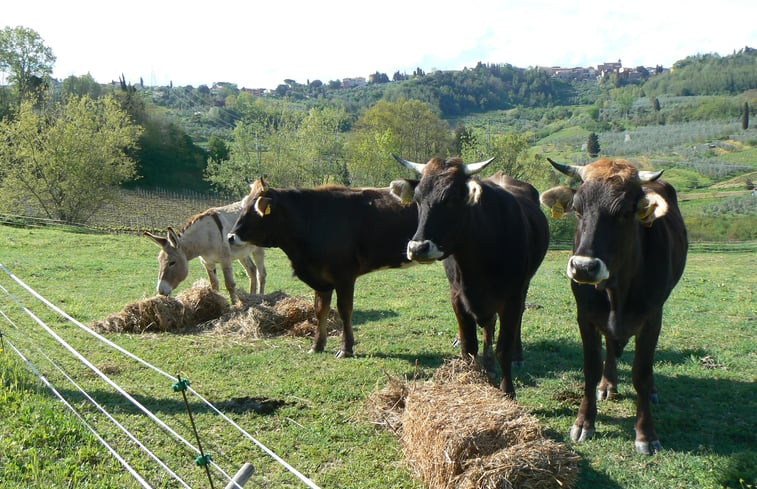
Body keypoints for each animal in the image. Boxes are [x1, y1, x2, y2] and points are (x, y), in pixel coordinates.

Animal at [227, 177, 416, 356]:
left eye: (254, 210)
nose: (230, 237)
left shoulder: (344, 276)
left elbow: (344, 310)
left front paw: (346, 348)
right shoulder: (320, 280)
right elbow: (320, 310)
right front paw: (317, 345)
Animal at [390, 155, 548, 396]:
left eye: (452, 199)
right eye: (417, 199)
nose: (417, 248)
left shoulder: (512, 297)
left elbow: (504, 348)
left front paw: (508, 392)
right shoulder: (458, 297)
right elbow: (469, 348)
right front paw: (477, 379)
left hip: (524, 286)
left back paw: (517, 356)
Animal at [540, 156, 688, 454]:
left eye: (623, 212)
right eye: (577, 209)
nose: (583, 267)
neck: (617, 290)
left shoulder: (652, 318)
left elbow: (641, 373)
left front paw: (646, 434)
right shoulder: (585, 316)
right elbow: (591, 368)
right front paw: (584, 422)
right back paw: (608, 385)